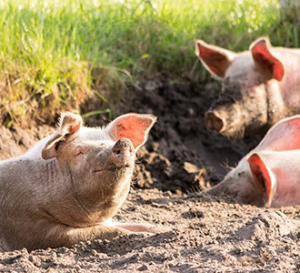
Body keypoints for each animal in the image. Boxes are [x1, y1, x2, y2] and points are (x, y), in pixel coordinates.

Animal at [0, 111, 166, 250]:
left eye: (110, 141)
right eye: (79, 152)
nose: (123, 142)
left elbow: (137, 225)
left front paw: (165, 230)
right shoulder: (29, 226)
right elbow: (104, 231)